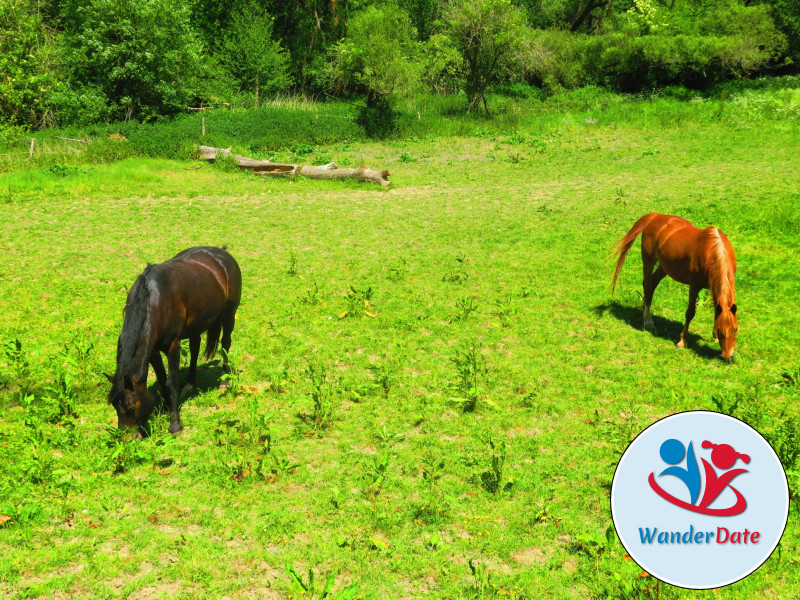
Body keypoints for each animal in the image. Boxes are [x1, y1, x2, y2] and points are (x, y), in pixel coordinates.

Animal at [108, 246, 242, 434]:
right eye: (114, 406)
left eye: (131, 406)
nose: (129, 437)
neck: (152, 301)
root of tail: (222, 253)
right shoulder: (153, 350)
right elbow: (162, 379)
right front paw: (165, 407)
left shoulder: (172, 346)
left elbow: (171, 383)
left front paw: (175, 424)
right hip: (197, 322)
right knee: (195, 347)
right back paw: (190, 383)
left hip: (229, 313)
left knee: (225, 344)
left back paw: (225, 380)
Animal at [612, 214, 736, 360]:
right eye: (721, 331)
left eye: (735, 329)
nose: (728, 357)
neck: (713, 250)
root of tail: (655, 216)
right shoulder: (694, 286)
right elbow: (690, 313)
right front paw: (682, 342)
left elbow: (717, 311)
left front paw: (714, 336)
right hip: (648, 261)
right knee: (647, 285)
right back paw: (648, 321)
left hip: (664, 267)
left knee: (652, 284)